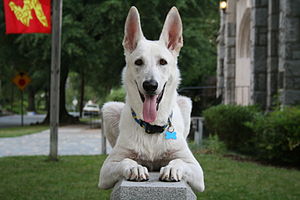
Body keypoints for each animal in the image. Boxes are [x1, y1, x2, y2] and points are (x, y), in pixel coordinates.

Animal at [98, 6, 204, 192]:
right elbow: (126, 160)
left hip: (186, 102)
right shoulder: (107, 168)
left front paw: (172, 168)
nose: (150, 85)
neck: (152, 128)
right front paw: (135, 167)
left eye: (163, 62)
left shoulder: (196, 169)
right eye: (138, 62)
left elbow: (179, 161)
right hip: (109, 108)